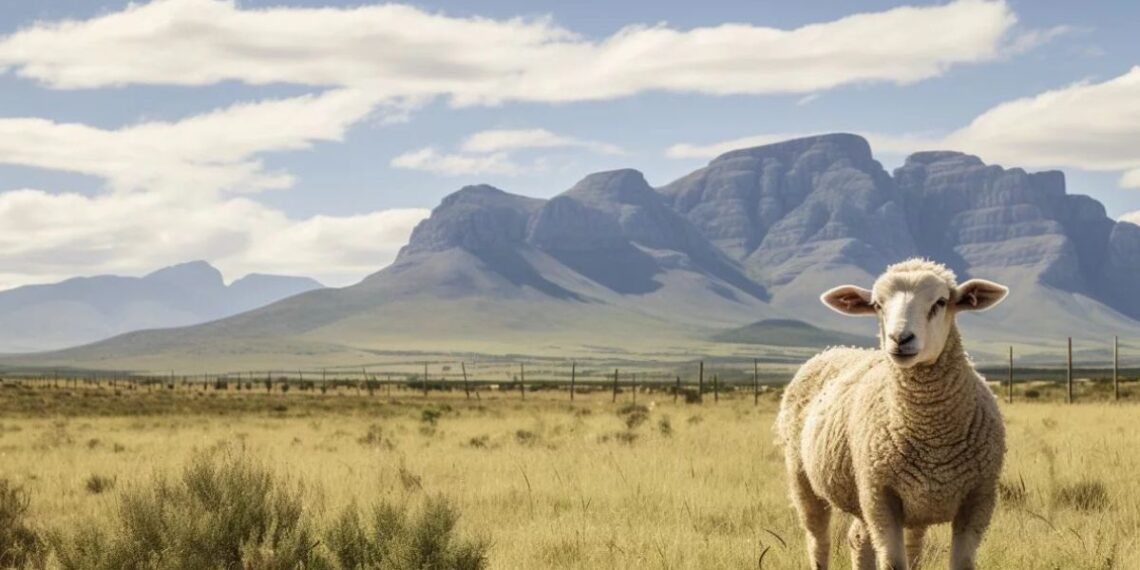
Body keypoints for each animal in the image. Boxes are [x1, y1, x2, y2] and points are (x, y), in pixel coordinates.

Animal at [775, 258, 1008, 570]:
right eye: (877, 304)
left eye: (941, 302)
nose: (900, 338)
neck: (932, 436)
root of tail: (833, 349)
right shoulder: (881, 498)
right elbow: (893, 563)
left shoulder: (978, 499)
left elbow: (959, 563)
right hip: (805, 479)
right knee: (818, 541)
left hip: (895, 502)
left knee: (861, 539)